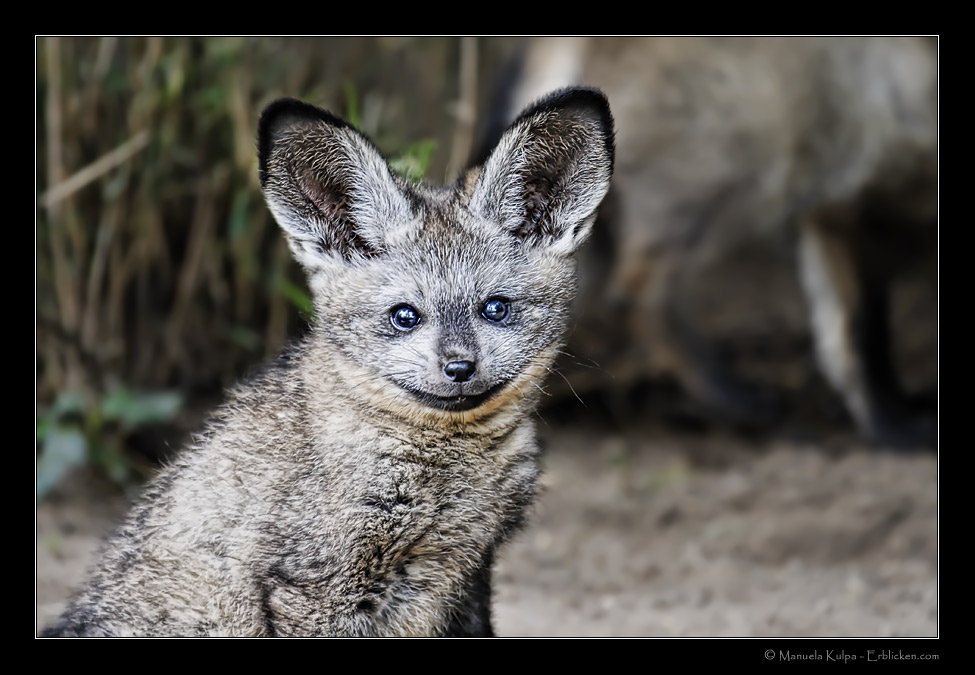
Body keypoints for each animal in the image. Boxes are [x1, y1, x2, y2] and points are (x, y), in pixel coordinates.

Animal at [480, 38, 936, 448]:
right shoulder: (850, 193)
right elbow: (861, 331)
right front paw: (892, 430)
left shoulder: (837, 206)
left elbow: (857, 332)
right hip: (731, 179)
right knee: (638, 297)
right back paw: (742, 407)